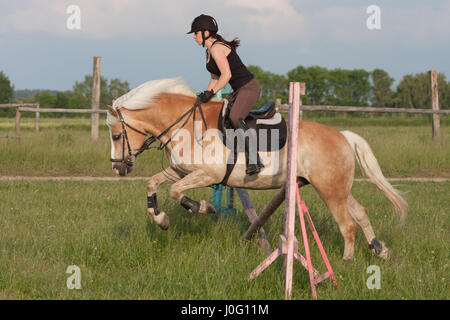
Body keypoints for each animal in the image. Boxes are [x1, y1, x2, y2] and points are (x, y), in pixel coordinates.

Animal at [105, 77, 408, 260]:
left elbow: (177, 192)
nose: (119, 169)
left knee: (347, 224)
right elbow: (154, 184)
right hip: (337, 188)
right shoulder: (180, 171)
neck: (186, 124)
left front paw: (204, 207)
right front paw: (162, 220)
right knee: (361, 214)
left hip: (330, 190)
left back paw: (345, 264)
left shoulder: (208, 175)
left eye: (117, 136)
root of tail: (343, 136)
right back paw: (380, 250)